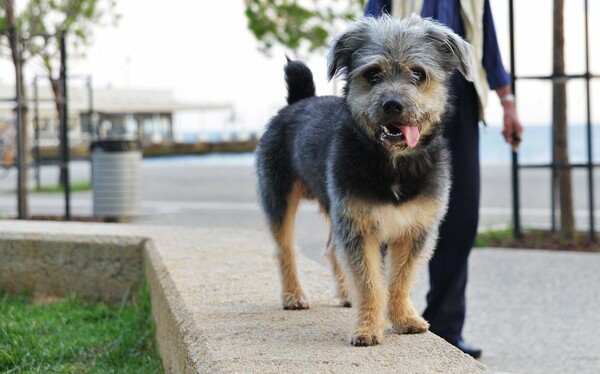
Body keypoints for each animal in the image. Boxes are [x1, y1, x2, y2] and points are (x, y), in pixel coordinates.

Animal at [255, 15, 476, 348]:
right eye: (373, 74)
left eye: (418, 73)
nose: (392, 104)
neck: (393, 162)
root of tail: (299, 100)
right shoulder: (358, 229)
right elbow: (370, 281)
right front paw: (368, 328)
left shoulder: (416, 229)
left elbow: (400, 279)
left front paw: (403, 318)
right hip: (279, 196)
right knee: (285, 248)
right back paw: (293, 295)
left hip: (333, 206)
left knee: (332, 249)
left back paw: (346, 294)